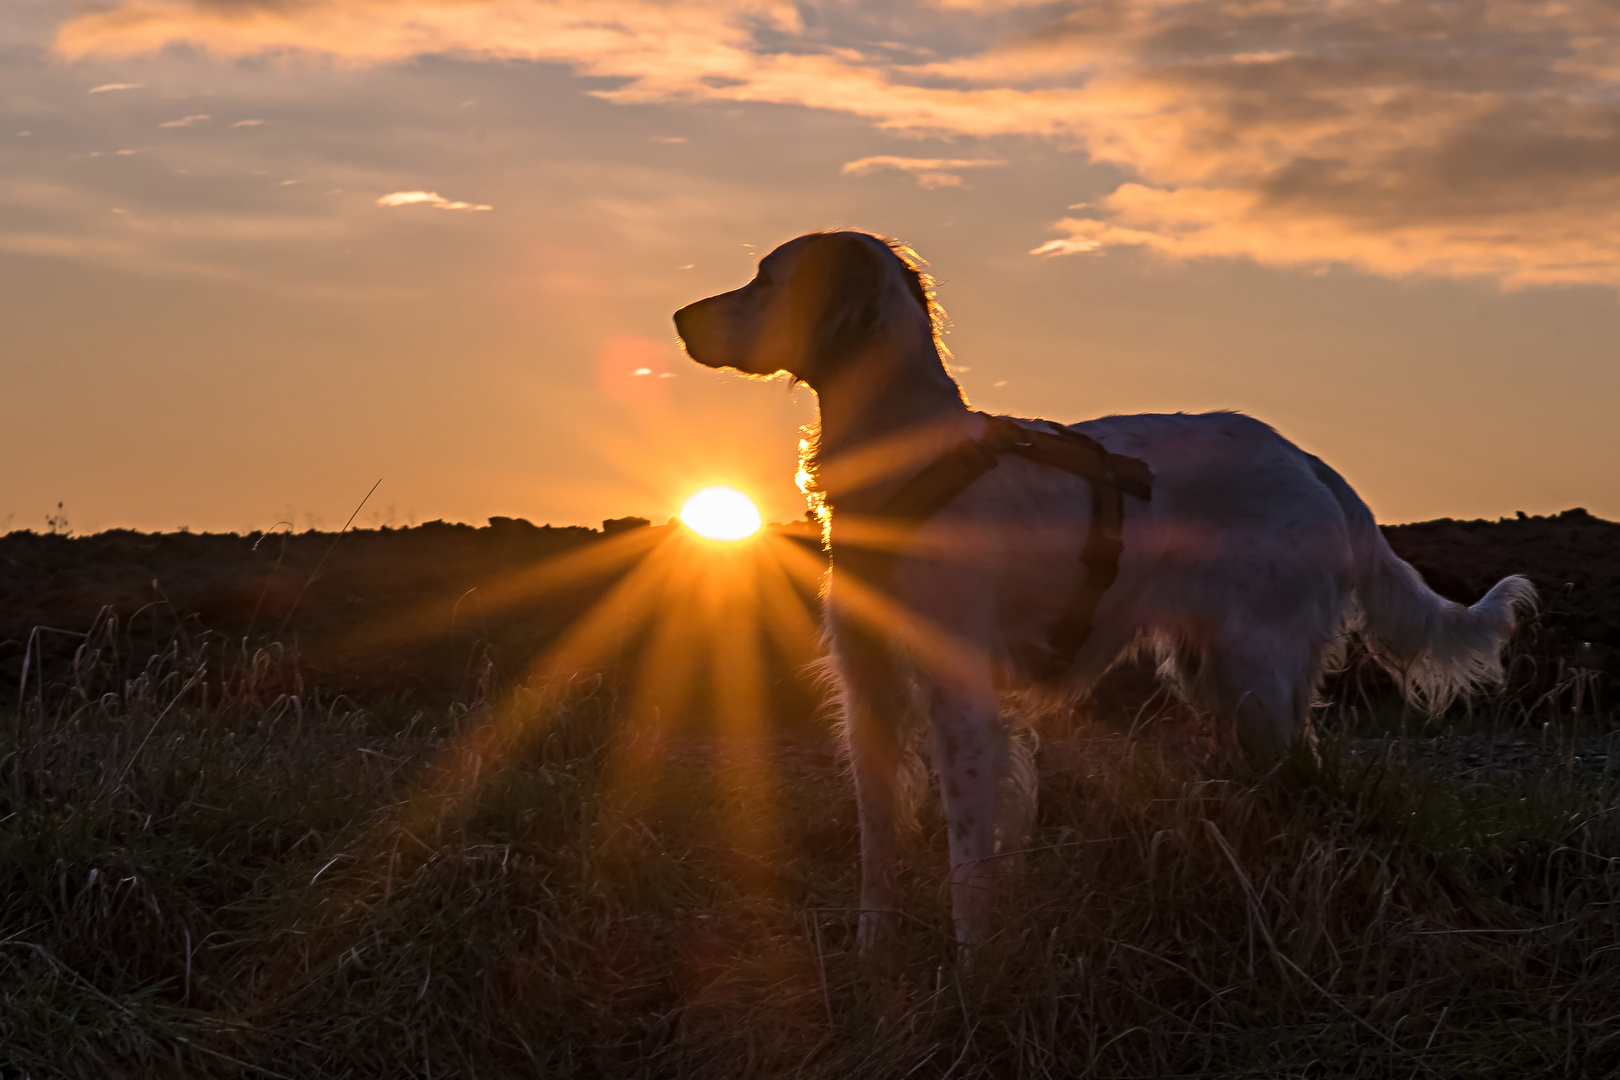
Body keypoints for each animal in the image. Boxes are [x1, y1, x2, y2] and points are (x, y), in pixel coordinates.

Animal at [670, 228, 1529, 945]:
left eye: (766, 278)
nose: (679, 317)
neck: (910, 459)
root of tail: (1307, 459)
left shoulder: (963, 702)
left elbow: (967, 861)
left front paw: (973, 982)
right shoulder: (870, 694)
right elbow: (877, 851)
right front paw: (873, 966)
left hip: (1258, 675)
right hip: (1219, 676)